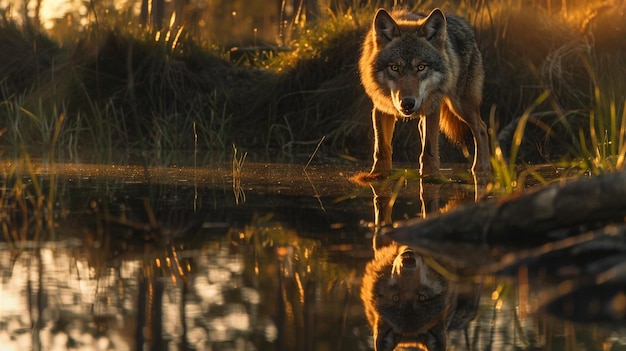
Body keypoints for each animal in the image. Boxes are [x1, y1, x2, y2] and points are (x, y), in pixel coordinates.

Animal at [358, 8, 490, 179]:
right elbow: (381, 147)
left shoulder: (432, 107)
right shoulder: (381, 107)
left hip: (460, 105)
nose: (407, 103)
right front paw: (378, 174)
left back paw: (481, 168)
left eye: (421, 67)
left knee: (481, 128)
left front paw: (431, 175)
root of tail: (462, 22)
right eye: (394, 67)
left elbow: (430, 146)